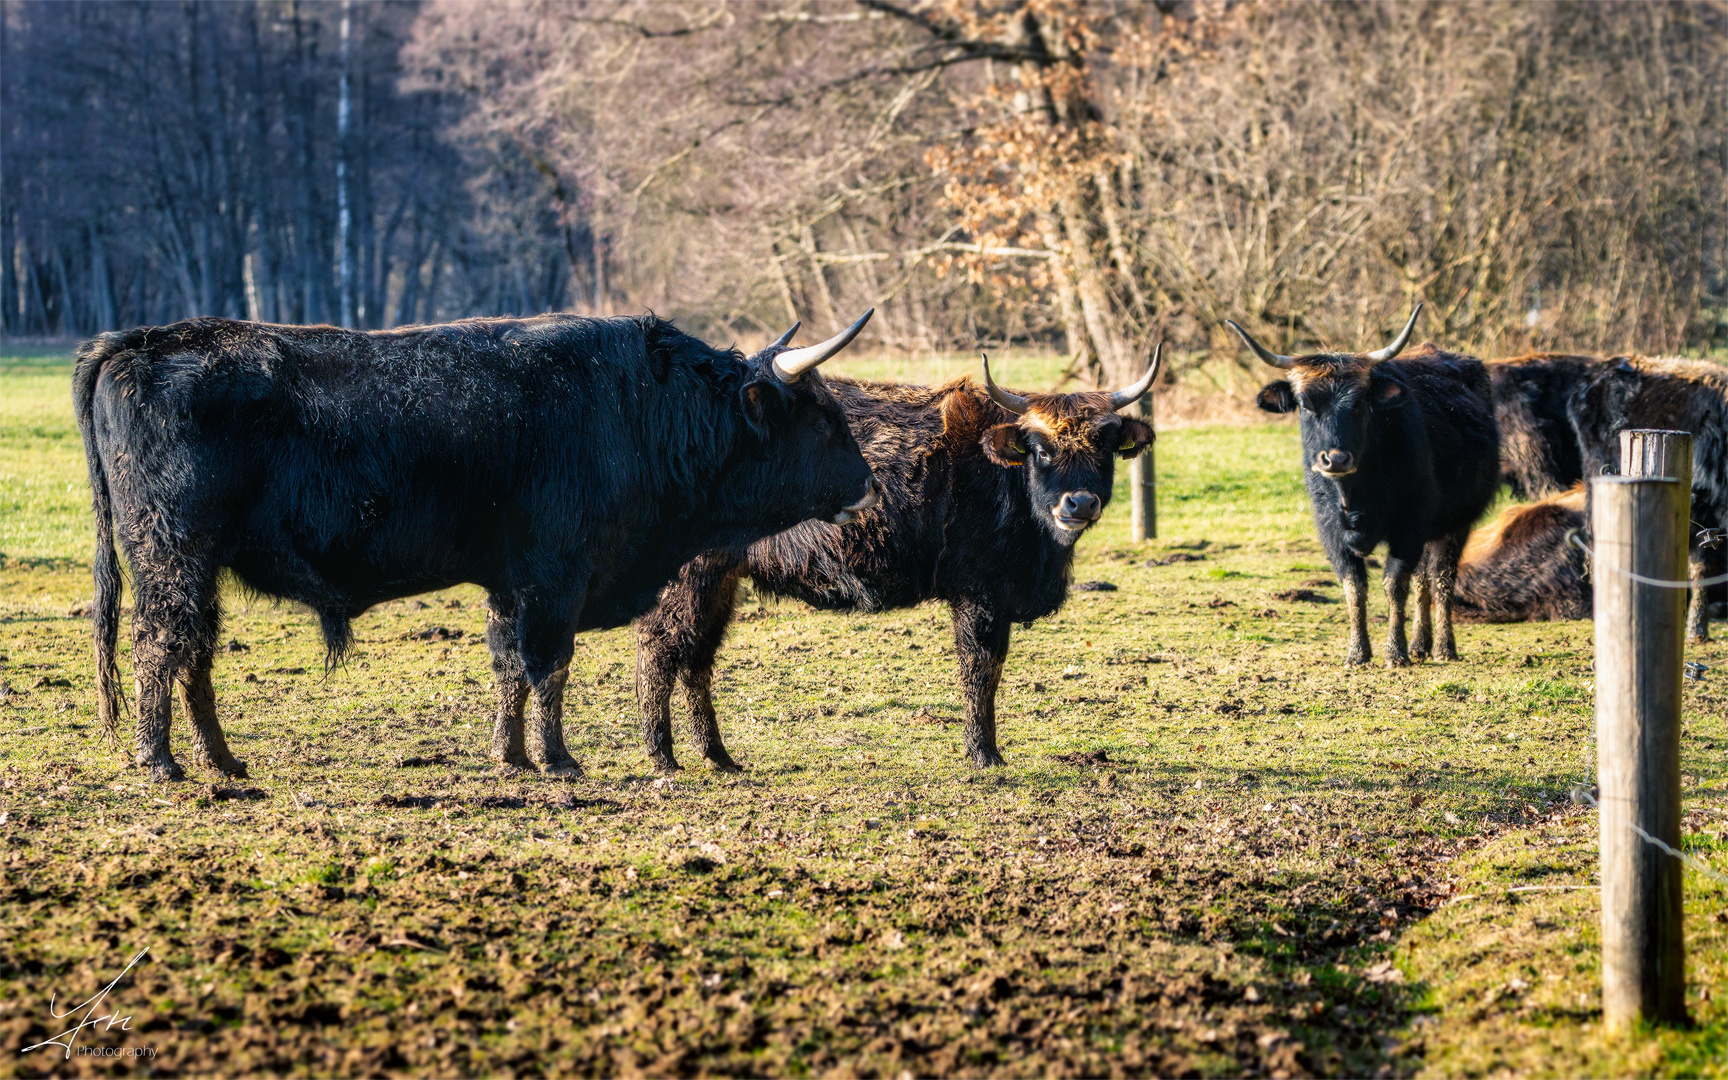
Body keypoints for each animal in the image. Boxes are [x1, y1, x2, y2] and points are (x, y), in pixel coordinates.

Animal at [77, 307, 877, 777]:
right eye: (820, 418)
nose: (869, 483)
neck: (635, 403)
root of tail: (142, 341)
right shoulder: (556, 577)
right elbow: (548, 667)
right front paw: (558, 761)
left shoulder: (511, 582)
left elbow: (508, 669)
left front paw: (511, 757)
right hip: (172, 556)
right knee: (158, 644)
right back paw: (161, 763)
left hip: (196, 567)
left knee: (193, 653)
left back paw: (223, 762)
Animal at [628, 349, 1154, 770]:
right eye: (1041, 450)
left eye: (1105, 447)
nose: (1079, 504)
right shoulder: (979, 594)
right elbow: (980, 669)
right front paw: (984, 754)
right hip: (691, 579)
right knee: (659, 650)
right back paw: (662, 756)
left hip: (720, 583)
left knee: (696, 658)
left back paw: (718, 757)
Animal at [1237, 304, 1506, 667]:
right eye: (1305, 404)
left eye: (1359, 402)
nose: (1335, 459)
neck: (1355, 494)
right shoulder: (1332, 532)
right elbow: (1354, 586)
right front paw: (1358, 652)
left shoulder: (1410, 525)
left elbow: (1395, 584)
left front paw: (1395, 652)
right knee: (1423, 579)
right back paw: (1420, 644)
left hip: (1454, 525)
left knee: (1441, 578)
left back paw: (1442, 647)